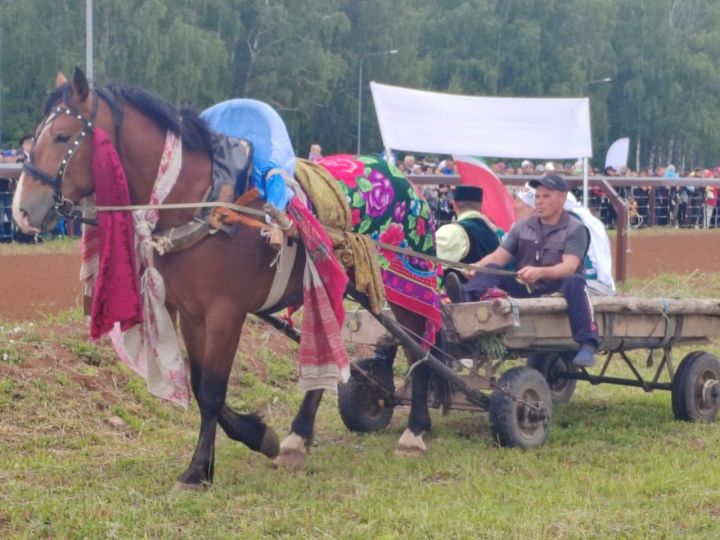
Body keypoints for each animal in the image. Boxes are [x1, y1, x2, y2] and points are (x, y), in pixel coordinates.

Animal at [12, 68, 438, 490]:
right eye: (35, 135)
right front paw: (253, 438)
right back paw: (300, 436)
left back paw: (415, 431)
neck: (203, 201)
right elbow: (201, 385)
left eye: (63, 136)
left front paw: (199, 468)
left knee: (419, 350)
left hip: (407, 288)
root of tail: (408, 181)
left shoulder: (225, 313)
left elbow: (214, 390)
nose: (21, 211)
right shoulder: (191, 312)